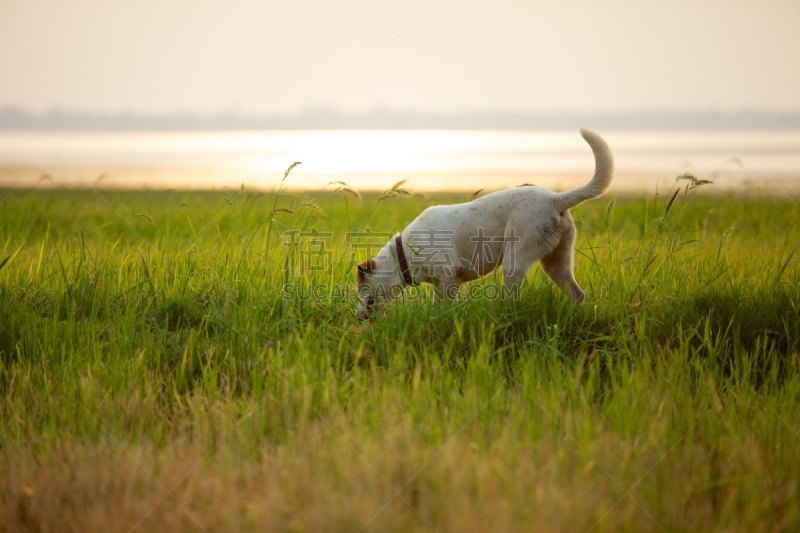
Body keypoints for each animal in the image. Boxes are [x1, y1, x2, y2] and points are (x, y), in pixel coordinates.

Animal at [356, 128, 612, 320]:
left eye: (366, 297)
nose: (358, 318)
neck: (404, 254)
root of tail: (555, 199)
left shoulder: (451, 276)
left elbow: (440, 309)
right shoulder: (441, 282)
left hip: (514, 262)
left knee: (513, 297)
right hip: (556, 263)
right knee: (577, 294)